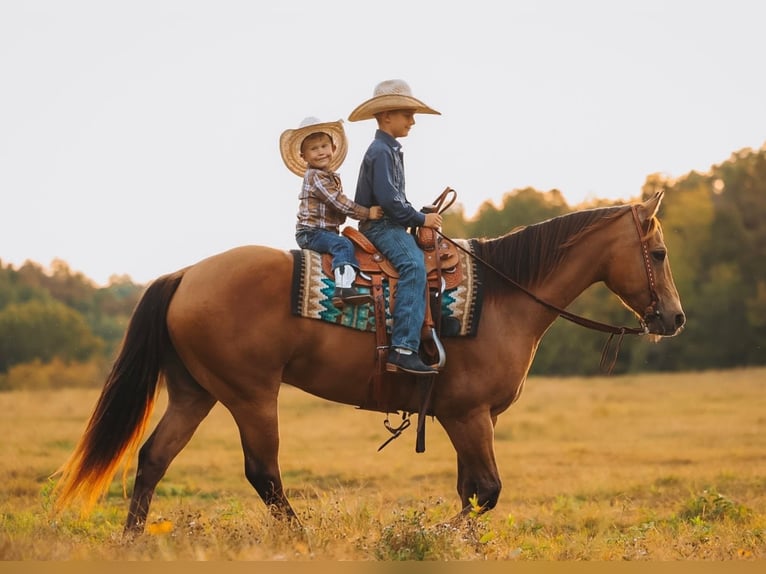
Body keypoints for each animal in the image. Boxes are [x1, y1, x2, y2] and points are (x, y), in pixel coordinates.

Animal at [53, 191, 685, 535]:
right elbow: (485, 492)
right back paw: (301, 540)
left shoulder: (465, 419)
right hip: (251, 396)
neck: (503, 297)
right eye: (657, 253)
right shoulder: (470, 415)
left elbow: (470, 491)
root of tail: (185, 273)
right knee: (264, 475)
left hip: (195, 393)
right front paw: (435, 535)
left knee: (153, 459)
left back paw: (132, 542)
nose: (675, 319)